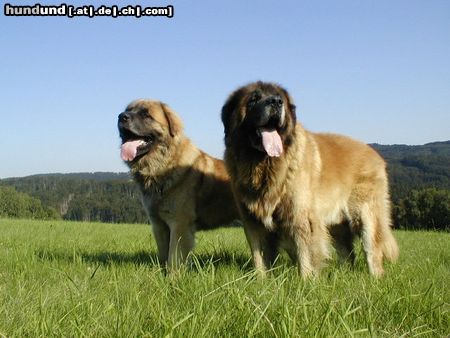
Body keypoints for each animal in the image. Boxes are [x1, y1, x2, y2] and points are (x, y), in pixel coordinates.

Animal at [118, 99, 241, 268]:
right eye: (128, 110)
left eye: (146, 114)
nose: (121, 116)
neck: (163, 164)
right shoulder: (158, 225)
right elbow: (164, 254)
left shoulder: (180, 224)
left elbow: (174, 257)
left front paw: (173, 274)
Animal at [221, 82, 398, 278]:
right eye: (253, 99)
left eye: (279, 98)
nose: (275, 102)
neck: (263, 164)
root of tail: (375, 154)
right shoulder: (253, 222)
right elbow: (259, 256)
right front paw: (260, 280)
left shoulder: (301, 216)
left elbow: (304, 254)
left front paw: (306, 280)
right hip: (337, 223)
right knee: (347, 252)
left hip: (365, 215)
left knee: (372, 250)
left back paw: (375, 278)